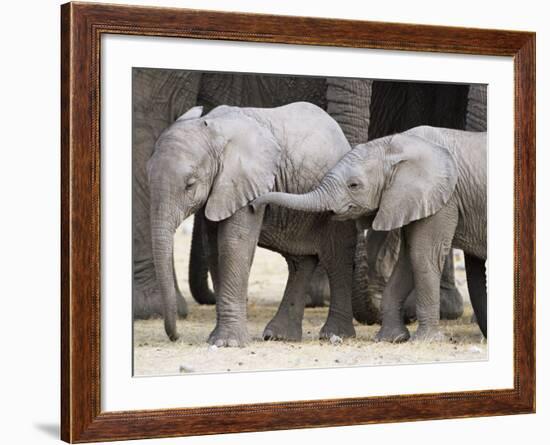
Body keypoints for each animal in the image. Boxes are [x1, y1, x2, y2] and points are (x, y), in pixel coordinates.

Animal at [254, 126, 488, 342]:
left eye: (354, 185)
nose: (255, 204)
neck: (397, 146)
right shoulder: (409, 200)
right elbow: (408, 259)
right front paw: (392, 338)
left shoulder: (444, 199)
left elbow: (422, 255)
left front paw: (426, 340)